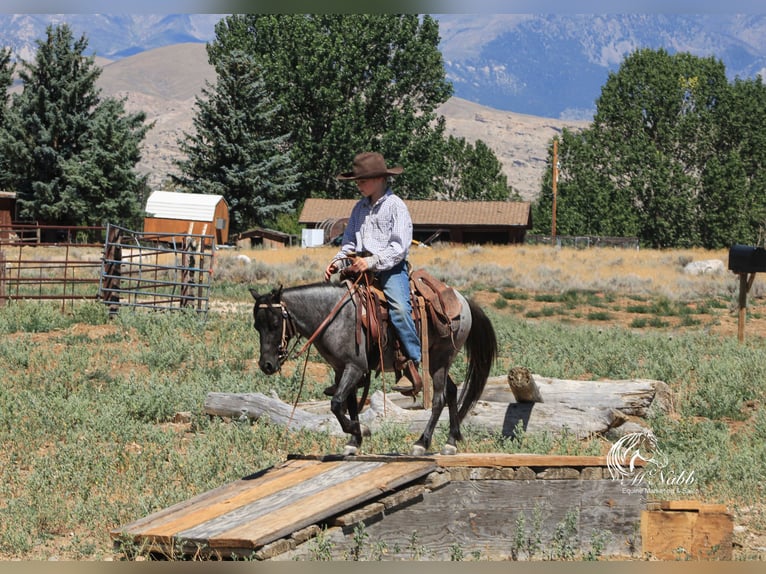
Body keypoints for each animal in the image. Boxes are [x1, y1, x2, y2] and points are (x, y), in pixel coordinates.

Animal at [250, 276, 498, 456]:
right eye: (256, 326)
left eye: (275, 323)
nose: (267, 365)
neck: (333, 317)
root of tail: (462, 300)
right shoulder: (342, 369)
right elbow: (348, 403)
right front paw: (354, 440)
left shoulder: (355, 367)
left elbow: (336, 403)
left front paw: (359, 430)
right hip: (440, 361)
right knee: (452, 391)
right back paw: (451, 441)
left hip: (439, 360)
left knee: (439, 398)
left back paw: (422, 443)